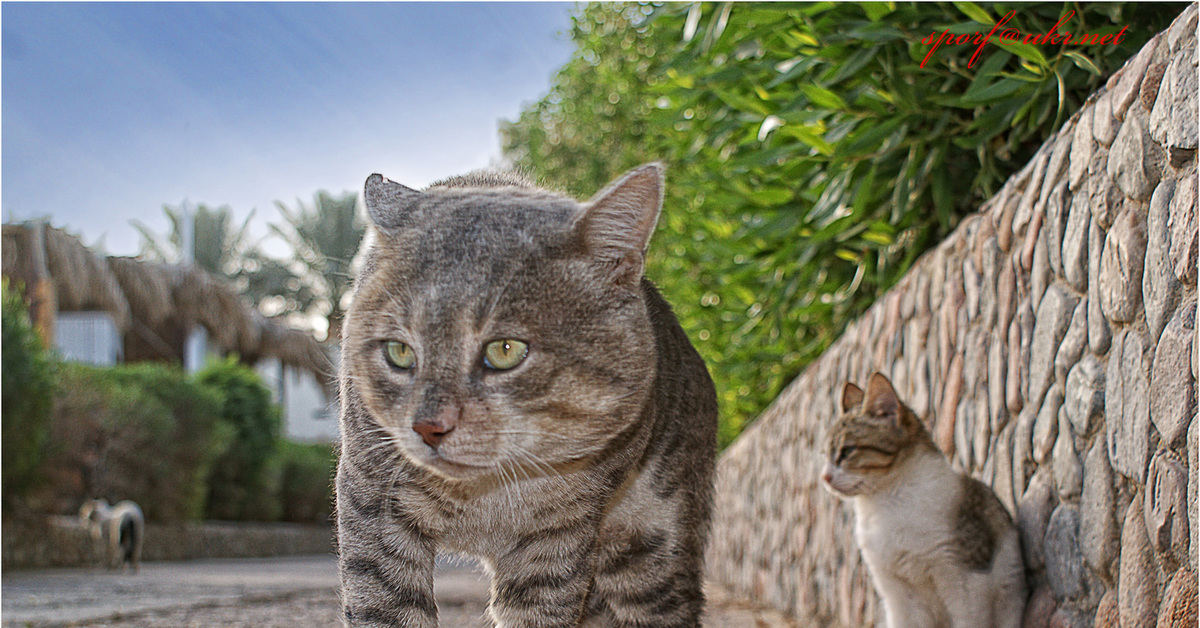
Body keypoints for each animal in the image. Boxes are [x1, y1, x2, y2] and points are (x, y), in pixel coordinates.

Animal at [333, 163, 715, 628]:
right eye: (399, 351)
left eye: (506, 350)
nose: (427, 427)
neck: (487, 491)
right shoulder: (373, 502)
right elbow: (383, 606)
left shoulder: (557, 540)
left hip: (651, 552)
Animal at [820, 374, 1027, 628]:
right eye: (825, 456)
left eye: (846, 451)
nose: (825, 477)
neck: (884, 503)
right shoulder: (896, 593)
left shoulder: (965, 579)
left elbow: (968, 619)